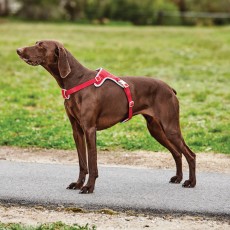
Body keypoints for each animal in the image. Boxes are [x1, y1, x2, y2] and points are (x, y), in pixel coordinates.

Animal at [16, 40, 196, 193]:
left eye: (40, 45)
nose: (18, 50)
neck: (76, 80)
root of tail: (170, 88)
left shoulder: (90, 129)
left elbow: (92, 163)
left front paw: (89, 187)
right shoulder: (77, 131)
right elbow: (82, 163)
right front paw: (78, 184)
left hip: (170, 127)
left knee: (190, 154)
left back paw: (191, 182)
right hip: (156, 129)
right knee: (177, 153)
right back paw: (178, 178)